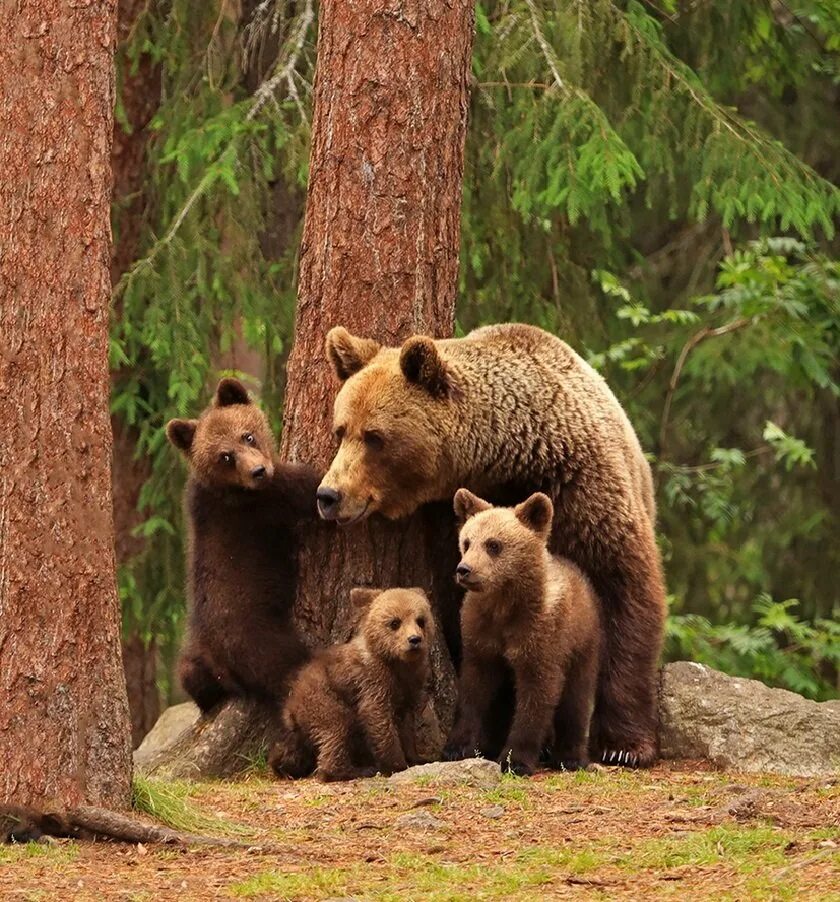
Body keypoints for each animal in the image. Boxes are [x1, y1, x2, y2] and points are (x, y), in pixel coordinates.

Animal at [318, 322, 668, 768]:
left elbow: (625, 587)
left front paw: (625, 746)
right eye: (340, 430)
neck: (510, 456)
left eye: (374, 436)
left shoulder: (584, 485)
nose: (329, 495)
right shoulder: (449, 523)